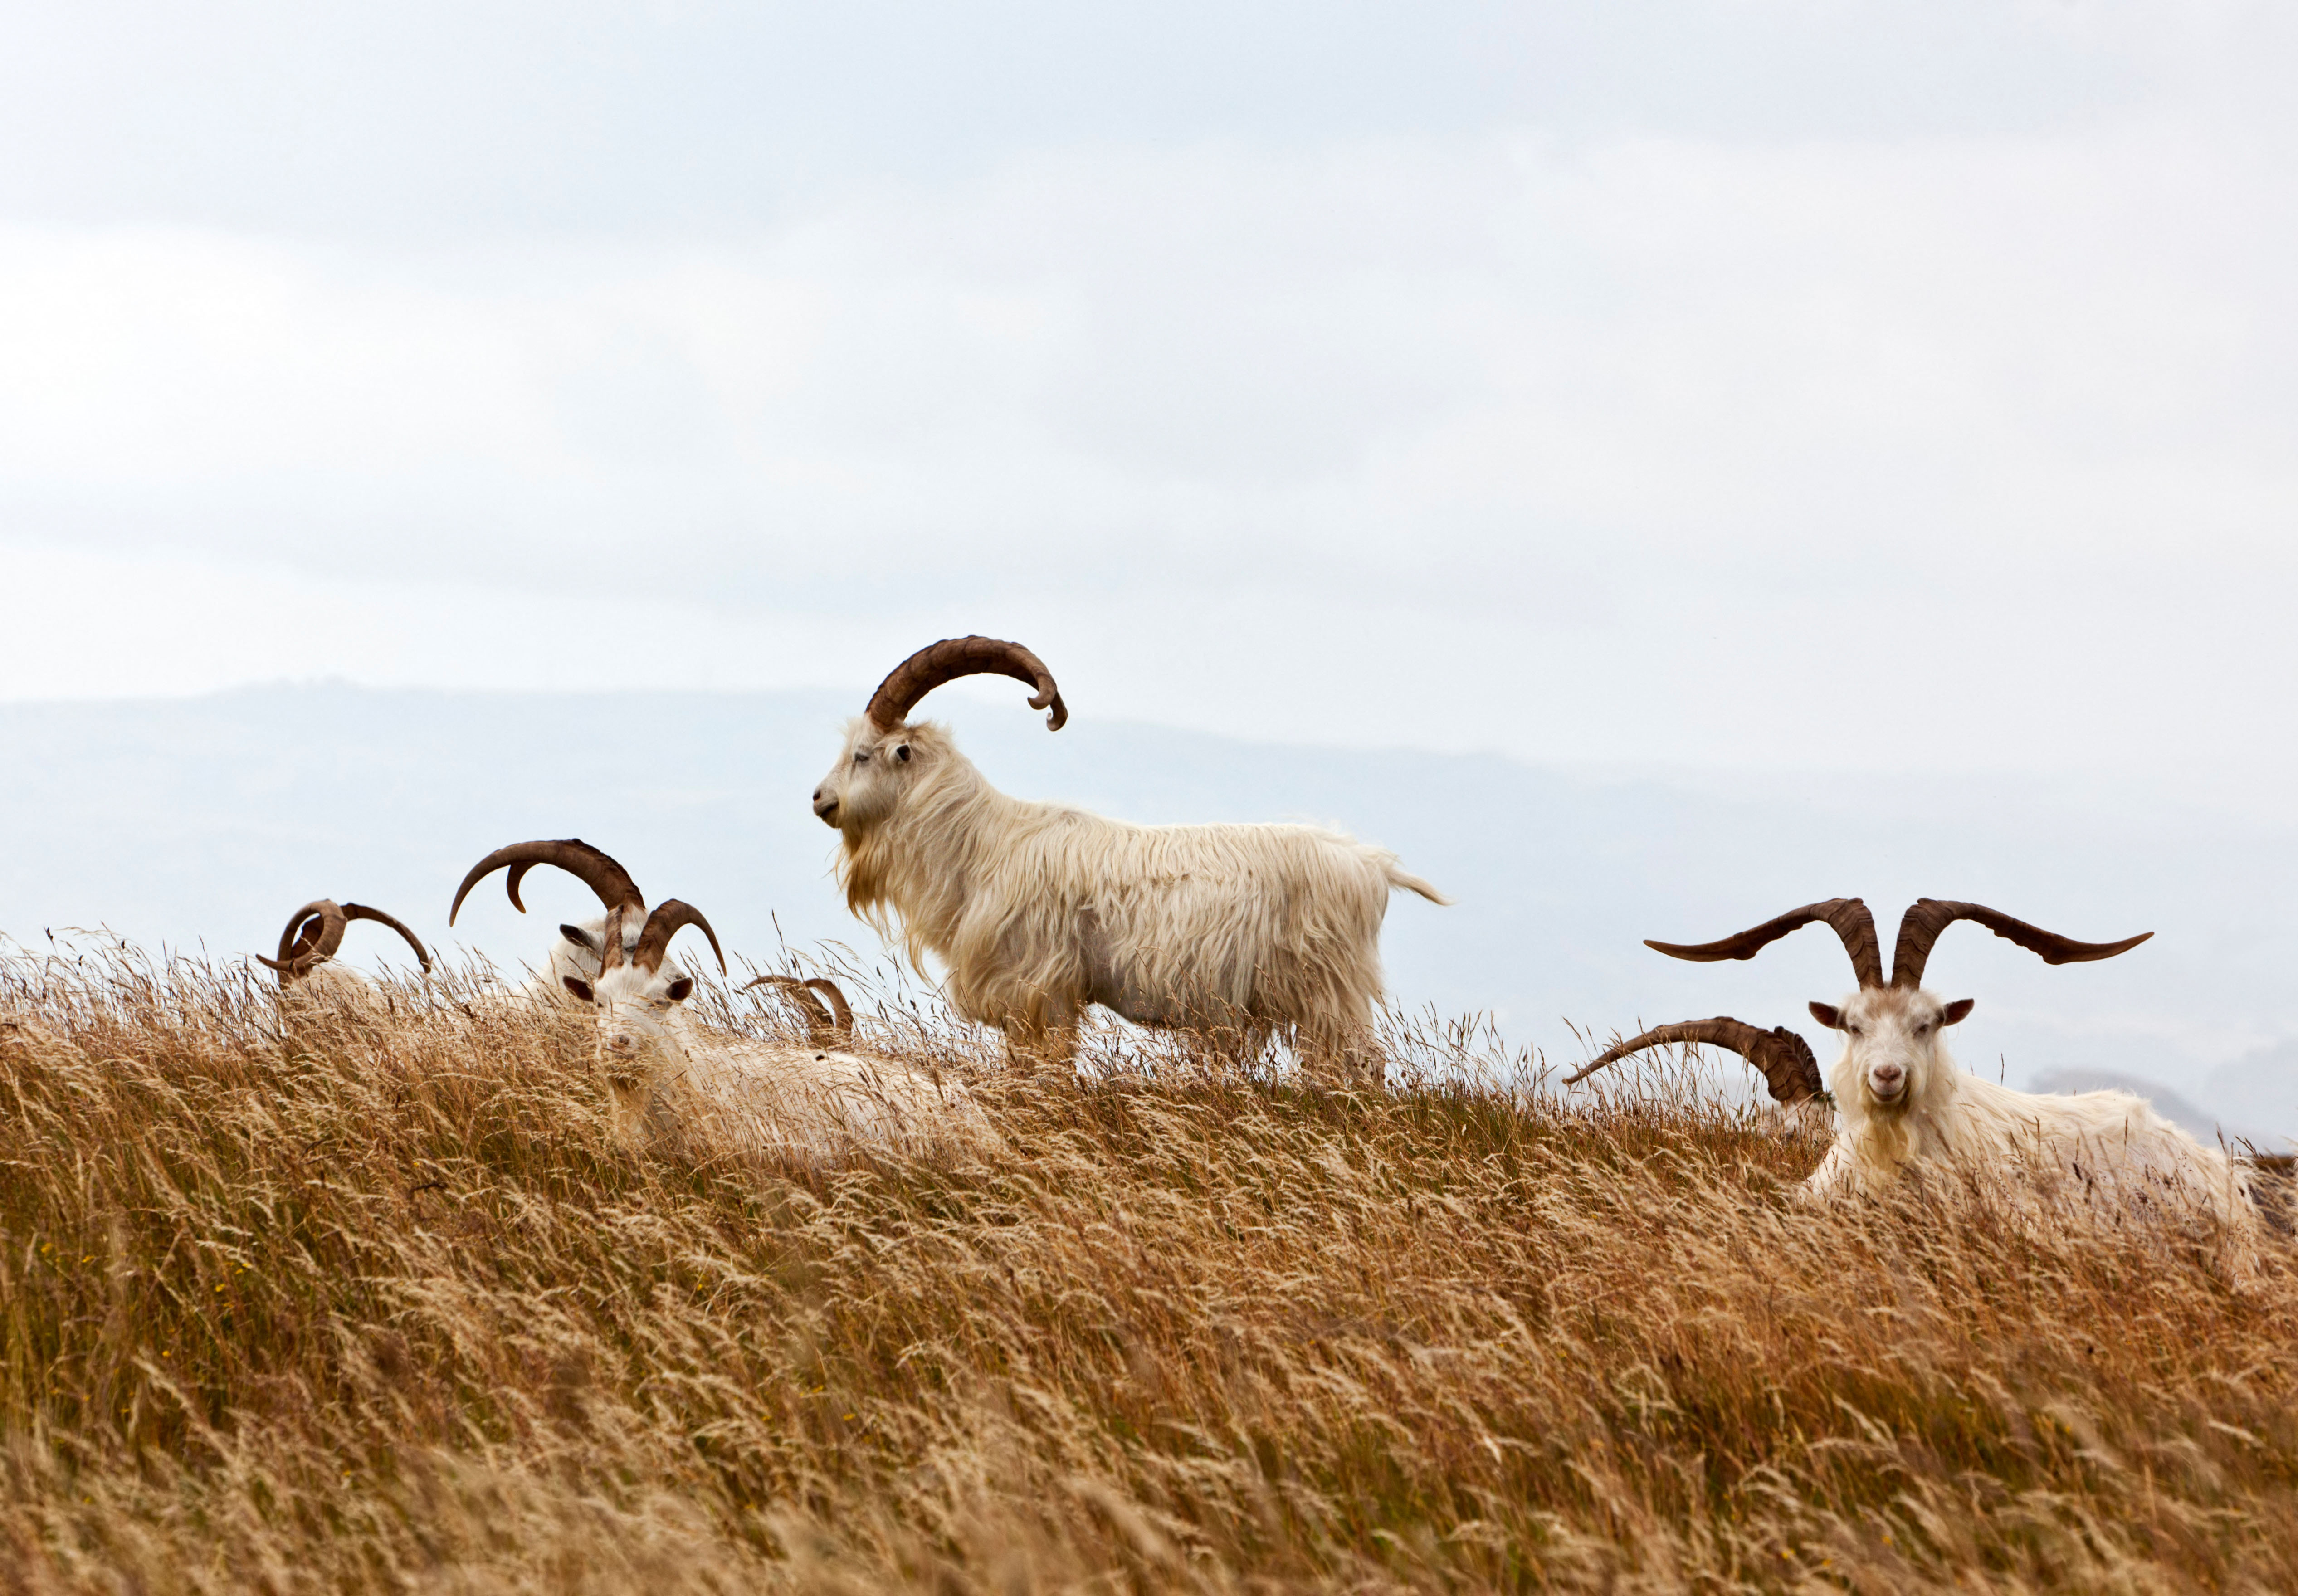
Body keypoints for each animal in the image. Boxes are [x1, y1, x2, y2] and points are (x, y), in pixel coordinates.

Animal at [809, 636, 1448, 1082]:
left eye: (864, 755)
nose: (820, 799)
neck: (985, 846)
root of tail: (1372, 865)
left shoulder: (1042, 994)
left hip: (1330, 991)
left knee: (1362, 1065)